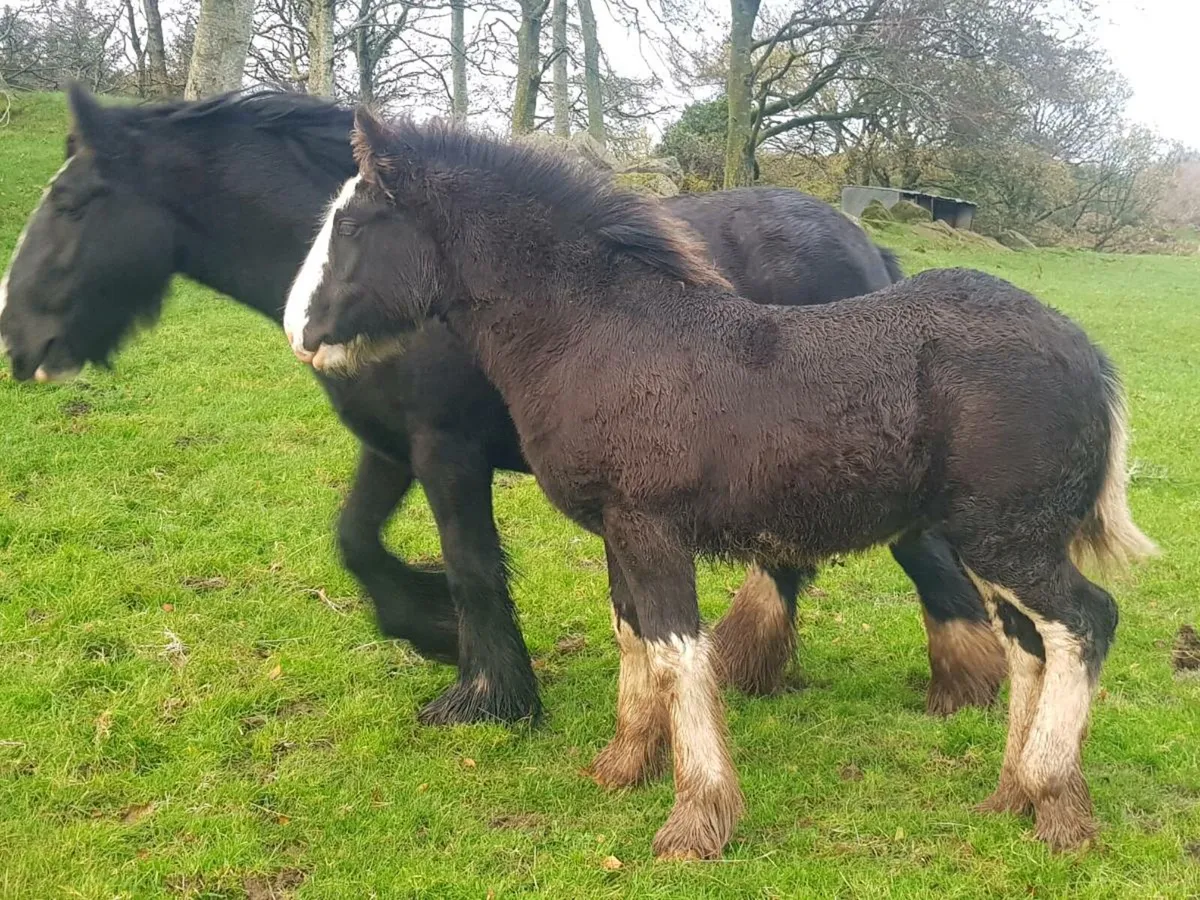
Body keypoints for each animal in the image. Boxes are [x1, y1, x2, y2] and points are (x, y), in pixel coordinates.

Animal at [0, 84, 1004, 727]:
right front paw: (434, 632)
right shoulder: (389, 447)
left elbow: (473, 564)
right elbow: (357, 542)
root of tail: (870, 250)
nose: (17, 341)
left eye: (76, 202)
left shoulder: (446, 452)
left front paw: (488, 694)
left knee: (920, 559)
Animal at [285, 108, 1156, 858]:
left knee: (1086, 621)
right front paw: (622, 765)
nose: (300, 332)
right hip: (997, 540)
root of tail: (1087, 352)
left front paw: (697, 820)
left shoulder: (652, 529)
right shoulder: (618, 530)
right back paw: (1014, 796)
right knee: (1030, 644)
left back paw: (1055, 801)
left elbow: (678, 653)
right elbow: (633, 637)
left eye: (352, 225)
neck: (599, 335)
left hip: (1009, 537)